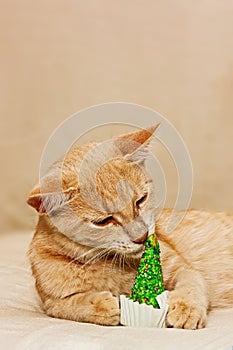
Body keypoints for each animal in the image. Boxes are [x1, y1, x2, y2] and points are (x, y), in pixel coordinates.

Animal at [27, 126, 233, 328]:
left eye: (141, 200)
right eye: (103, 221)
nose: (142, 236)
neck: (107, 263)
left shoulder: (185, 269)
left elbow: (191, 284)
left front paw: (186, 309)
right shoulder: (50, 302)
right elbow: (67, 305)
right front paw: (101, 305)